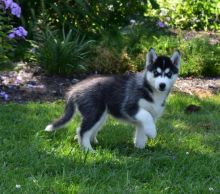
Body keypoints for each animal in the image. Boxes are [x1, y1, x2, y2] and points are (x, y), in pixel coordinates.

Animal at [44, 49, 180, 152]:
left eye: (169, 74)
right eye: (156, 73)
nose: (162, 85)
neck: (151, 90)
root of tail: (75, 89)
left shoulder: (144, 118)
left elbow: (141, 133)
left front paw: (140, 148)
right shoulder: (130, 106)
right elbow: (146, 116)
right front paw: (152, 132)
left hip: (100, 115)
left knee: (87, 130)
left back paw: (92, 143)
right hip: (95, 112)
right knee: (82, 131)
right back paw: (88, 150)